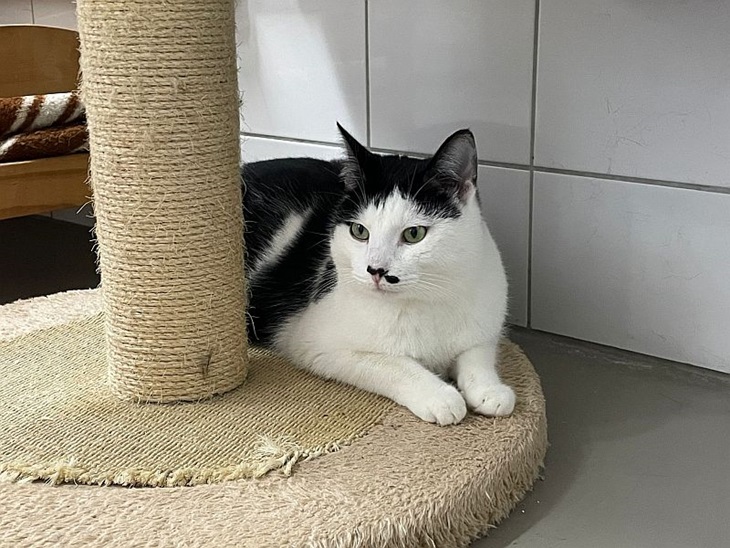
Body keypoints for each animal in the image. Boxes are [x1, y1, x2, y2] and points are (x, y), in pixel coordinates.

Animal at [241, 124, 515, 425]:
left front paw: (490, 390)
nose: (376, 270)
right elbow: (393, 363)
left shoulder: (484, 324)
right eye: (359, 231)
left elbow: (477, 353)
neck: (426, 299)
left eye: (414, 233)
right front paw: (441, 396)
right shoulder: (317, 344)